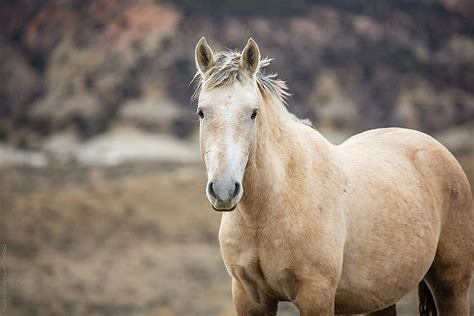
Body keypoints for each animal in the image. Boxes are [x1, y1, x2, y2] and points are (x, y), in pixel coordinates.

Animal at [193, 37, 474, 316]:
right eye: (201, 112)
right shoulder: (249, 296)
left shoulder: (316, 294)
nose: (224, 191)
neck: (271, 207)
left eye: (253, 112)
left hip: (451, 284)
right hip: (382, 295)